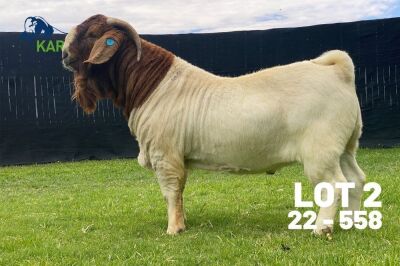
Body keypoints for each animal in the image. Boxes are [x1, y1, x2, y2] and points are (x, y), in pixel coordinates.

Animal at [62, 14, 366, 236]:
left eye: (91, 34)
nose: (63, 53)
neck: (151, 86)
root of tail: (339, 71)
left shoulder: (165, 155)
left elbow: (170, 191)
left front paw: (173, 229)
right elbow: (179, 192)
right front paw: (182, 223)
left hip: (320, 152)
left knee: (334, 184)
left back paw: (322, 228)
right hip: (345, 147)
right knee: (356, 179)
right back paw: (352, 222)